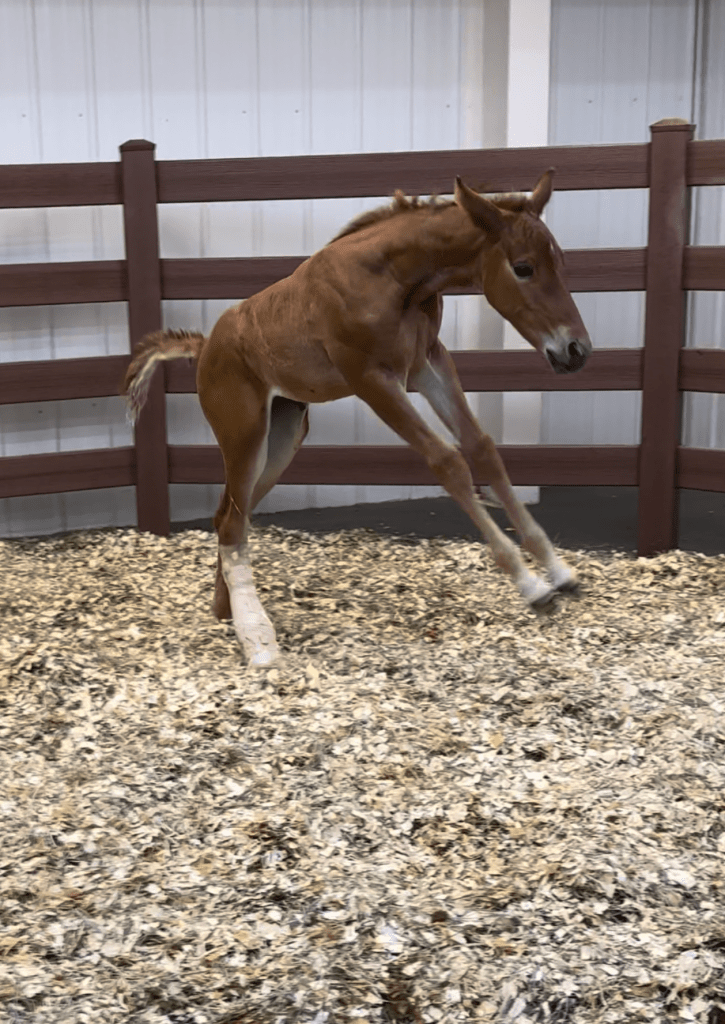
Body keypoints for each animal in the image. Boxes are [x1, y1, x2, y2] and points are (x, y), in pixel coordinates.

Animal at [123, 170, 591, 667]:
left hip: (282, 437)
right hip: (244, 434)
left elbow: (480, 445)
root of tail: (205, 346)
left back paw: (226, 611)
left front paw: (558, 570)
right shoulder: (371, 379)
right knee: (231, 520)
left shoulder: (427, 362)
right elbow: (447, 461)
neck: (393, 278)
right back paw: (257, 637)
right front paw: (531, 585)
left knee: (229, 515)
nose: (576, 350)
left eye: (559, 261)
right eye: (523, 267)